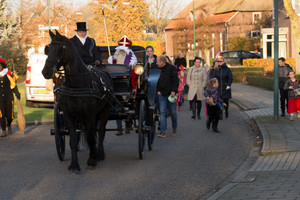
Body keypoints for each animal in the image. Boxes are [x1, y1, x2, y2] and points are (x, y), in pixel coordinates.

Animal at [42, 30, 112, 173]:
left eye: (59, 49)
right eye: (48, 49)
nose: (45, 72)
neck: (77, 84)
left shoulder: (90, 115)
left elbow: (91, 136)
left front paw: (92, 160)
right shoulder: (69, 115)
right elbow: (73, 140)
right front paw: (74, 165)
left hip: (104, 111)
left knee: (101, 131)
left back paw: (99, 154)